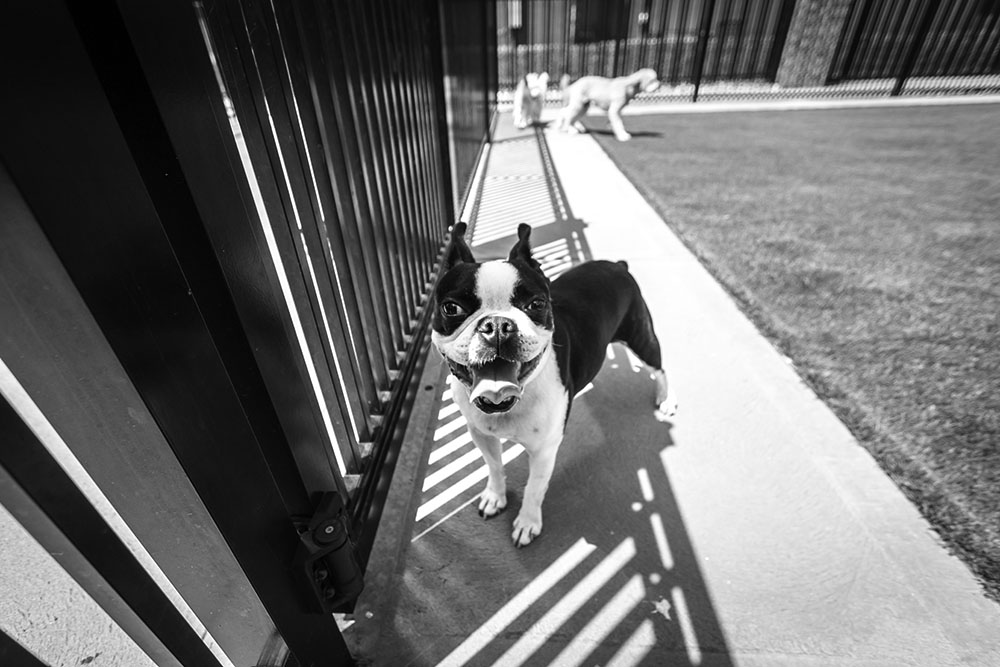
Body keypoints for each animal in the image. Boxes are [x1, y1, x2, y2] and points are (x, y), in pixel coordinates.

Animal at [432, 224, 680, 548]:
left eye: (536, 304)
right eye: (451, 308)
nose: (497, 325)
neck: (509, 403)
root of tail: (617, 266)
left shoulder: (543, 451)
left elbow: (534, 488)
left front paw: (527, 523)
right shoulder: (481, 434)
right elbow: (495, 467)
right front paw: (495, 497)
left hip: (640, 336)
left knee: (659, 367)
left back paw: (666, 399)